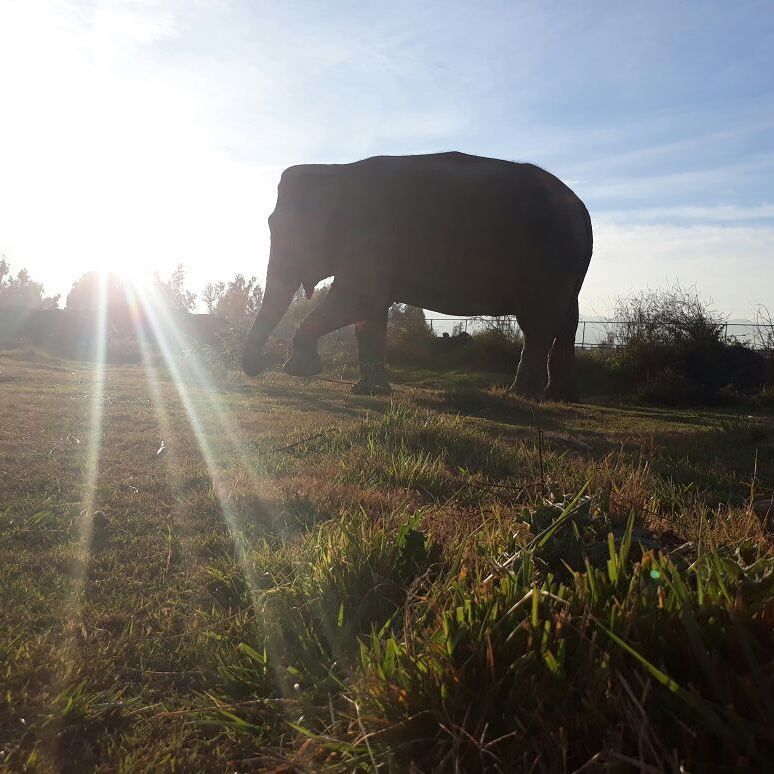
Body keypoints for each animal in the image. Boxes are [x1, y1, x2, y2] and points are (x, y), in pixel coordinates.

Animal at [242, 151, 593, 400]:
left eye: (282, 228)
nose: (260, 366)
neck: (336, 169)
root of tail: (582, 209)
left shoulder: (371, 233)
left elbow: (358, 299)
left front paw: (298, 369)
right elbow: (369, 313)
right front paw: (368, 392)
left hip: (549, 258)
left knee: (538, 322)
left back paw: (521, 394)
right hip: (567, 266)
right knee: (567, 321)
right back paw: (561, 397)